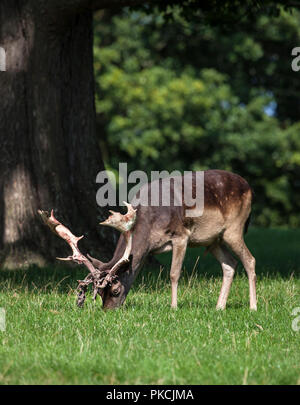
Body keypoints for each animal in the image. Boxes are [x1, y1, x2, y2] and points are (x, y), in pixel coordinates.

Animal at [38, 169, 256, 310]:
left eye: (115, 290)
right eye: (99, 293)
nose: (107, 311)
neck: (150, 223)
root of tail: (249, 187)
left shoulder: (181, 235)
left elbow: (174, 273)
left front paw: (173, 307)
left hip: (234, 228)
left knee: (250, 260)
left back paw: (253, 307)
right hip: (213, 241)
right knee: (230, 263)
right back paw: (219, 307)